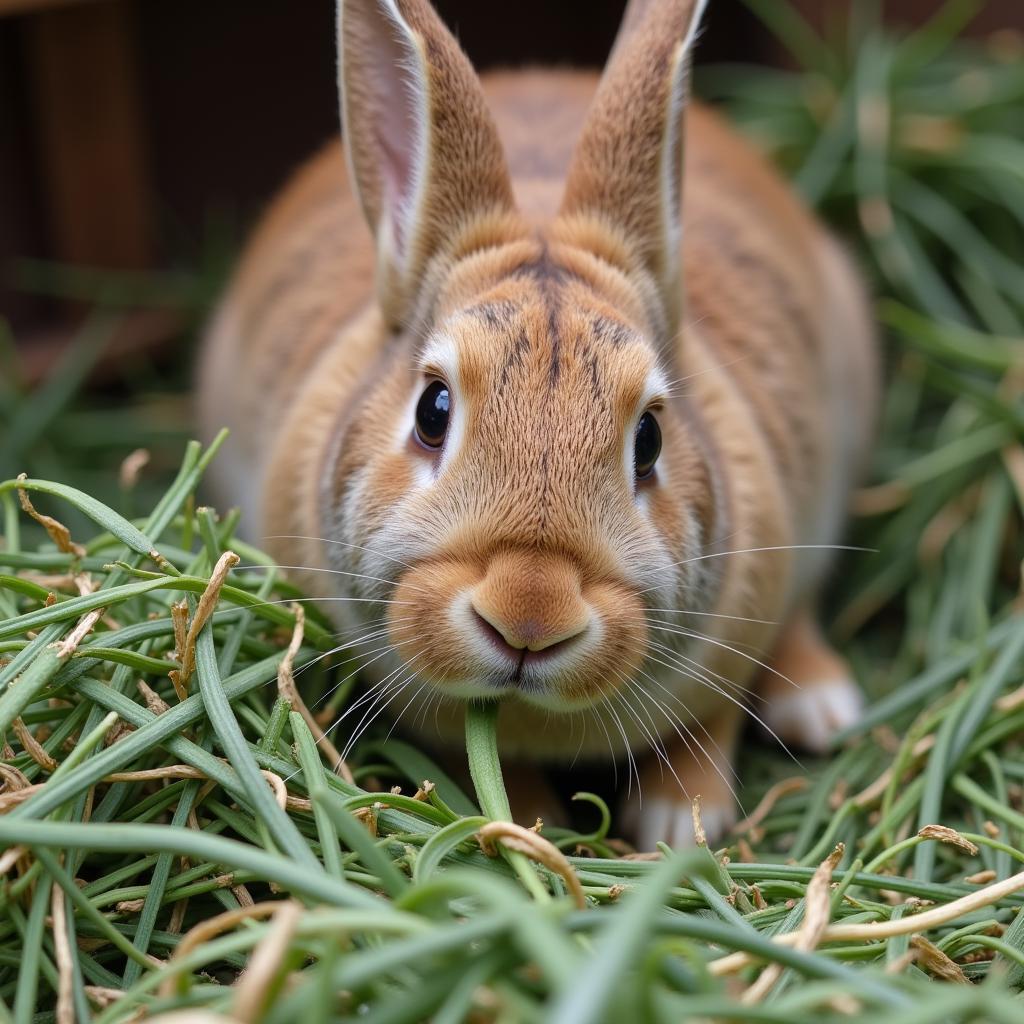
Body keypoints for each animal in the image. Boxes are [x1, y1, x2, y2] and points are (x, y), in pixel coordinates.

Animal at [199, 0, 880, 847]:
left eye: (650, 439)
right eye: (433, 411)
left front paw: (678, 824)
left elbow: (708, 723)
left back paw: (823, 709)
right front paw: (533, 822)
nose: (530, 614)